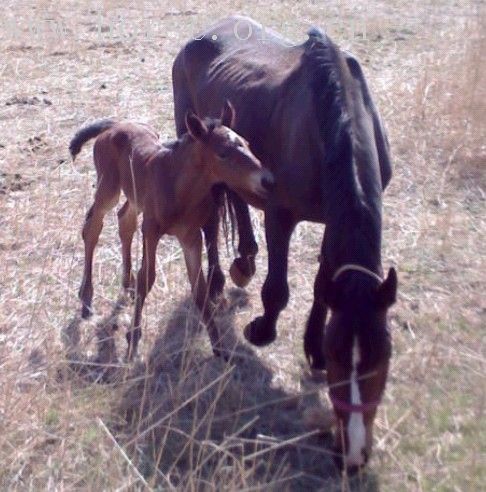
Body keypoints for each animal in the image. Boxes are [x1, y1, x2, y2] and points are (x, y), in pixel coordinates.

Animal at [69, 102, 274, 360]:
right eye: (222, 153)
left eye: (246, 144)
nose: (268, 180)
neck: (180, 189)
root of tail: (115, 125)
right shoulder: (151, 230)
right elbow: (147, 278)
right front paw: (133, 341)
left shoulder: (191, 237)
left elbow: (199, 287)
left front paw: (219, 346)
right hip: (108, 187)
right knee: (92, 227)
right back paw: (87, 298)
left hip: (135, 198)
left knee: (125, 220)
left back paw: (126, 283)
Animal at [173, 15, 396, 468]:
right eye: (339, 357)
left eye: (381, 360)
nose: (353, 454)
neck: (333, 121)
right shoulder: (281, 215)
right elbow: (277, 289)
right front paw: (261, 330)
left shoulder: (331, 220)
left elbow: (323, 287)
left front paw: (310, 346)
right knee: (211, 222)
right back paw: (220, 278)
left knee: (238, 199)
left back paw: (244, 260)